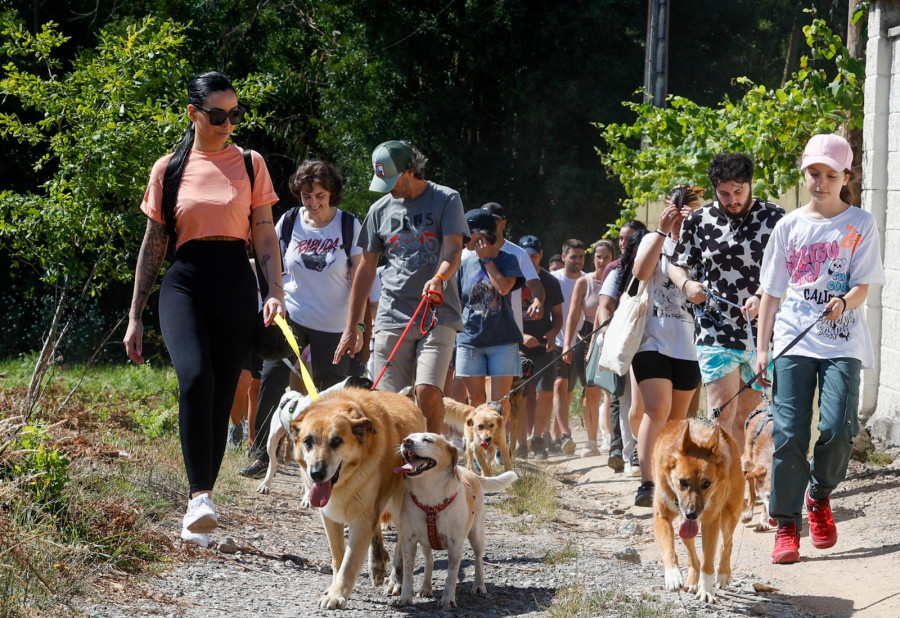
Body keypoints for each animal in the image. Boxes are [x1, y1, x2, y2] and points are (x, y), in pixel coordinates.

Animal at [290, 384, 428, 608]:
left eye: (336, 441)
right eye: (308, 441)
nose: (316, 473)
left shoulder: (362, 518)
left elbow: (350, 561)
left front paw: (337, 594)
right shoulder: (330, 517)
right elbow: (338, 555)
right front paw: (335, 586)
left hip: (399, 507)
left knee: (401, 545)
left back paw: (396, 580)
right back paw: (378, 564)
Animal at [652, 418, 744, 600]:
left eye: (706, 483)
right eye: (682, 482)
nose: (691, 515)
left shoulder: (711, 521)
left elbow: (708, 562)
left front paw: (706, 591)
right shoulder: (661, 516)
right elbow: (668, 548)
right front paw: (673, 575)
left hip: (730, 514)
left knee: (727, 544)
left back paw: (723, 574)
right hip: (685, 530)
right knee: (693, 558)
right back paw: (693, 582)